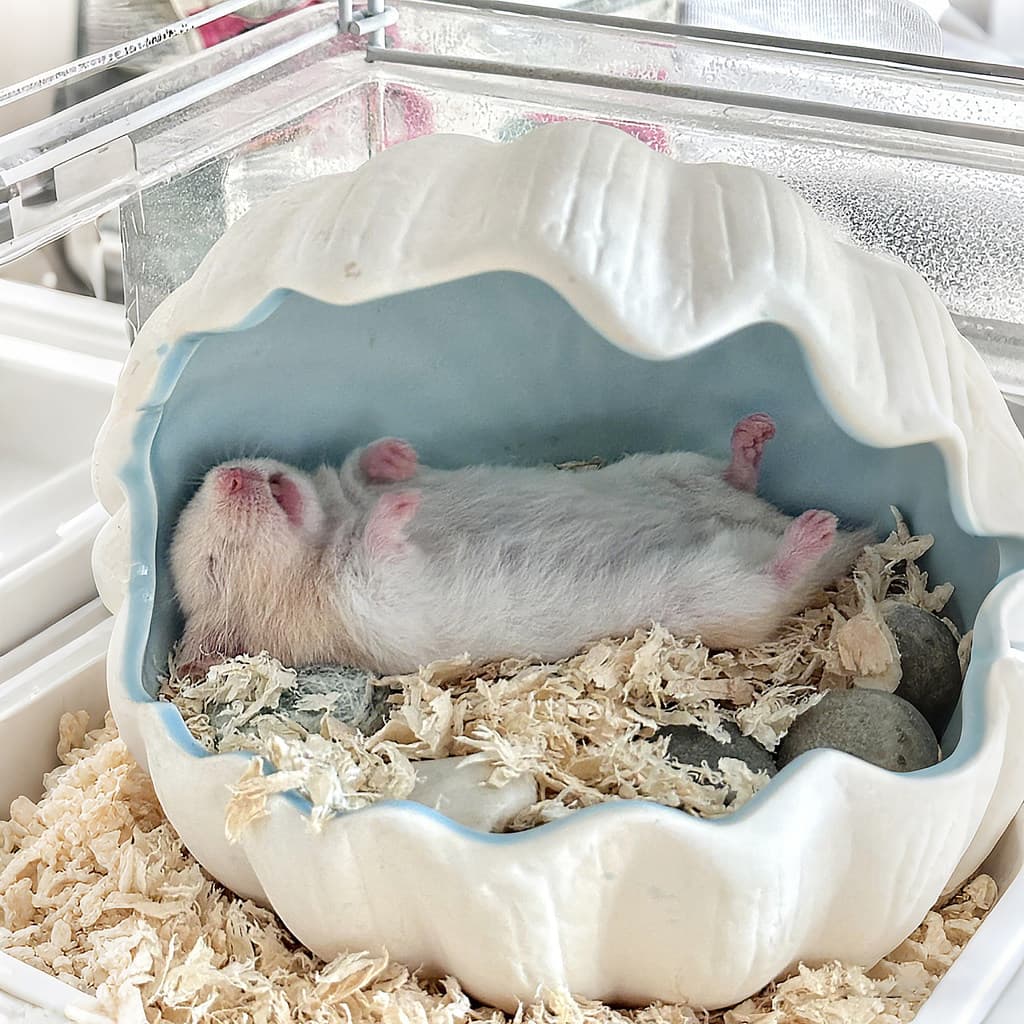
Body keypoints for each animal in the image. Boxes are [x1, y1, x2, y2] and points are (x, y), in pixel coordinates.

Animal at [169, 414, 870, 677]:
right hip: (715, 592)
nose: (233, 476)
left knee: (733, 475)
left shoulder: (349, 496)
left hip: (673, 466)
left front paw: (398, 457)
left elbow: (365, 466)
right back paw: (814, 528)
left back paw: (757, 437)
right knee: (774, 581)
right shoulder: (374, 607)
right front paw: (401, 510)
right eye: (213, 567)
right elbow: (381, 549)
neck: (328, 530)